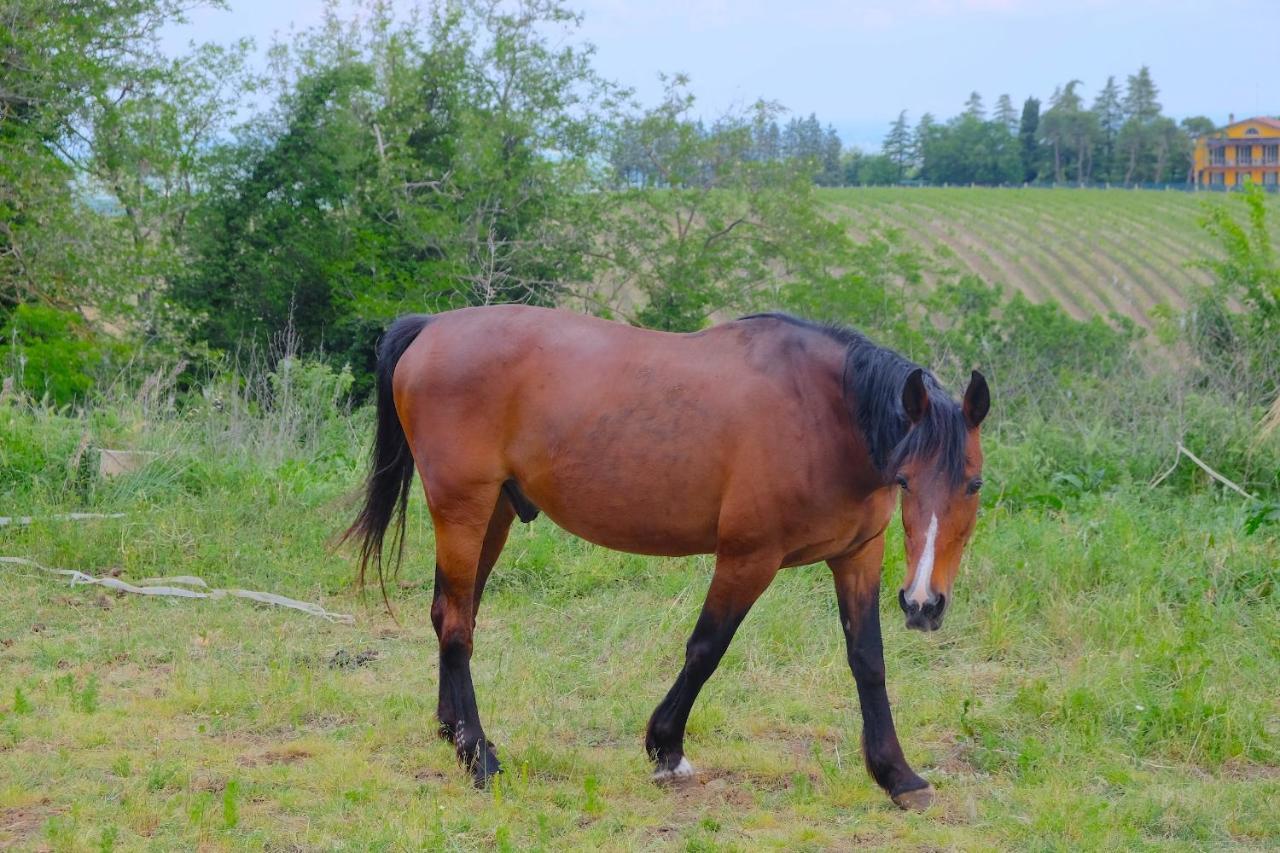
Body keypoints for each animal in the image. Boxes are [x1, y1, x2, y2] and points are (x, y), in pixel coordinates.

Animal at [345, 302, 993, 809]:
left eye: (974, 483)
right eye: (907, 480)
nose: (924, 604)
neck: (822, 413)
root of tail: (432, 327)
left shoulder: (858, 556)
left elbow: (868, 661)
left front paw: (897, 775)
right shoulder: (748, 557)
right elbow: (706, 649)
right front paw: (665, 747)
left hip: (495, 513)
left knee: (452, 613)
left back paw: (453, 733)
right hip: (463, 508)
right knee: (456, 624)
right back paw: (479, 757)